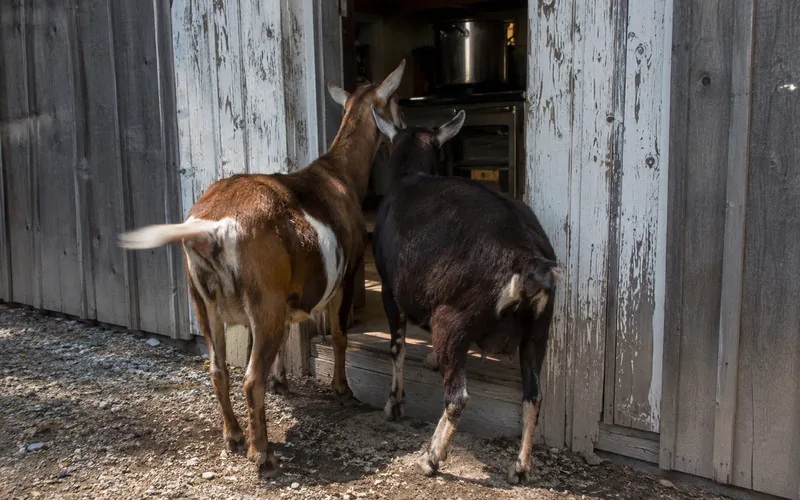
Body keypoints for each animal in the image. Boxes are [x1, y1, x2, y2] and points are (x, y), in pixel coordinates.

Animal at [117, 60, 407, 479]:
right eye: (398, 103)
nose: (404, 126)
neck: (340, 174)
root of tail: (211, 227)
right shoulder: (348, 272)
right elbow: (339, 337)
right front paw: (342, 389)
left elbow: (286, 337)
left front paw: (281, 382)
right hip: (263, 297)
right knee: (249, 378)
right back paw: (263, 454)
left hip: (203, 302)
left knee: (218, 370)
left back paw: (235, 436)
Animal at [370, 107, 560, 484]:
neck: (410, 176)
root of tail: (528, 262)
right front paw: (430, 361)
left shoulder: (388, 288)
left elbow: (397, 347)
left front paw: (393, 405)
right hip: (538, 329)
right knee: (533, 395)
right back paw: (520, 468)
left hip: (455, 319)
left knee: (458, 397)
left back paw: (431, 459)